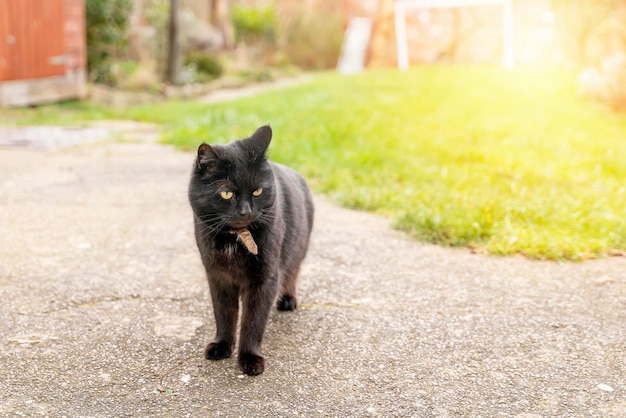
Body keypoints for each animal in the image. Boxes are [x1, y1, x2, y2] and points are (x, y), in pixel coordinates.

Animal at [185, 125, 312, 376]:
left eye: (257, 192)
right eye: (226, 193)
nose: (245, 211)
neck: (234, 240)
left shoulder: (265, 279)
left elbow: (252, 321)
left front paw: (250, 358)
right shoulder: (218, 277)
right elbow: (224, 314)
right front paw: (222, 346)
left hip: (298, 249)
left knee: (293, 272)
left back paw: (288, 300)